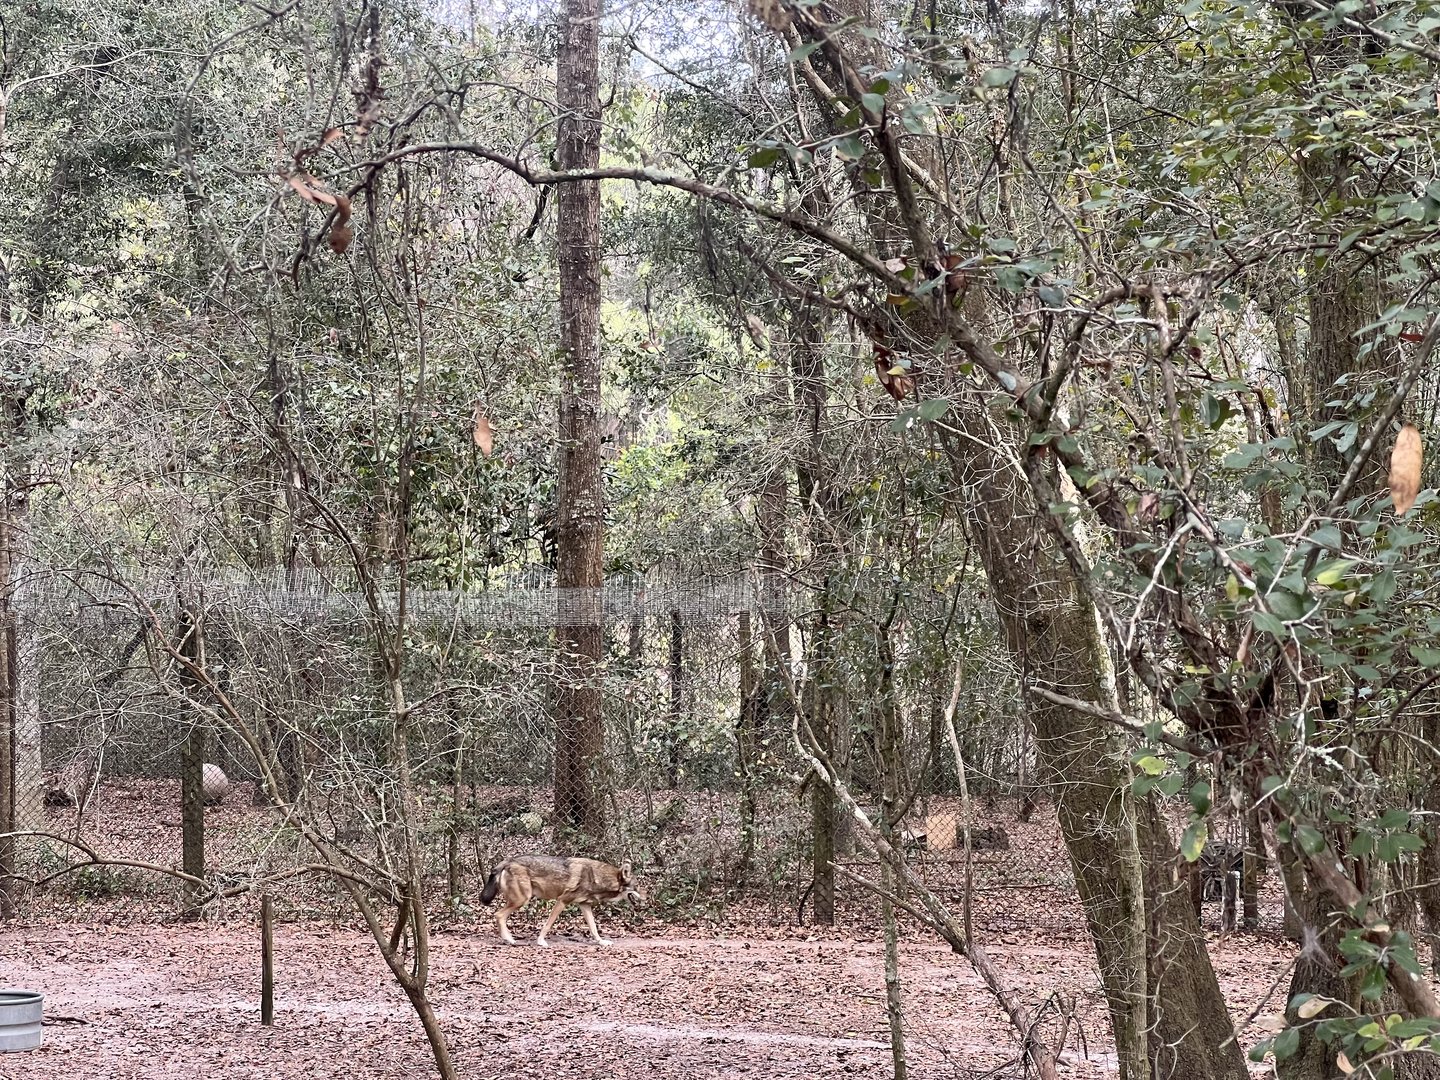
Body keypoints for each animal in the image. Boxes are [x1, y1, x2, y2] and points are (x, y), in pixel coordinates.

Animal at [479, 854, 643, 947]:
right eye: (637, 887)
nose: (646, 897)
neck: (596, 877)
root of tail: (507, 861)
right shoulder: (562, 901)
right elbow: (547, 925)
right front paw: (541, 942)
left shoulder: (585, 906)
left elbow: (594, 928)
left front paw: (601, 942)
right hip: (522, 900)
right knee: (498, 915)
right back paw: (510, 940)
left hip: (520, 900)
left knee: (499, 916)